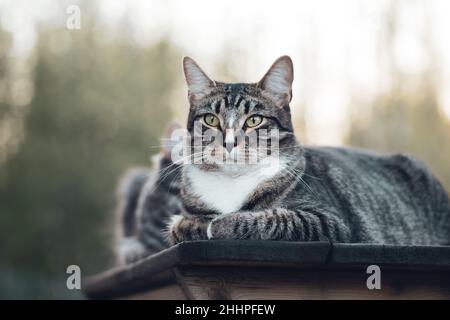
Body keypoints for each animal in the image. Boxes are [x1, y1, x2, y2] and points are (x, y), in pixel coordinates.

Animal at [117, 56, 450, 264]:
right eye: (211, 119)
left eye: (254, 121)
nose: (229, 142)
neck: (232, 183)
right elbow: (179, 225)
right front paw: (194, 223)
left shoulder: (327, 222)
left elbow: (268, 219)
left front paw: (218, 223)